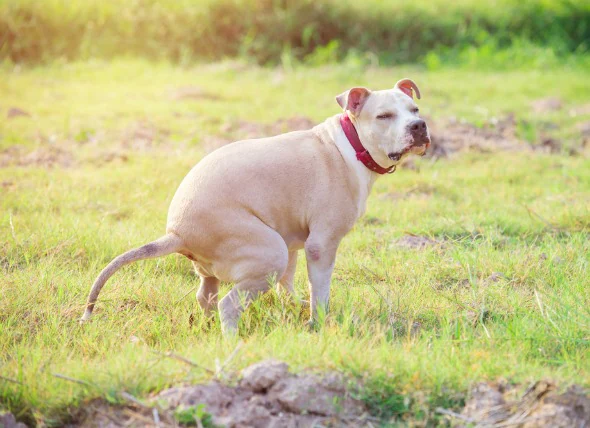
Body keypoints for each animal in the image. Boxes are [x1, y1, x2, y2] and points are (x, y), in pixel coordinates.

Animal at [80, 79, 430, 334]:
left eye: (415, 109)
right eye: (384, 116)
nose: (419, 126)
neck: (351, 145)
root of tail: (176, 233)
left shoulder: (294, 241)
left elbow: (288, 282)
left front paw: (294, 307)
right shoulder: (321, 245)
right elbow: (320, 291)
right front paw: (317, 323)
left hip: (230, 263)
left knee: (206, 296)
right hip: (268, 252)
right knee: (228, 305)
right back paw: (232, 343)